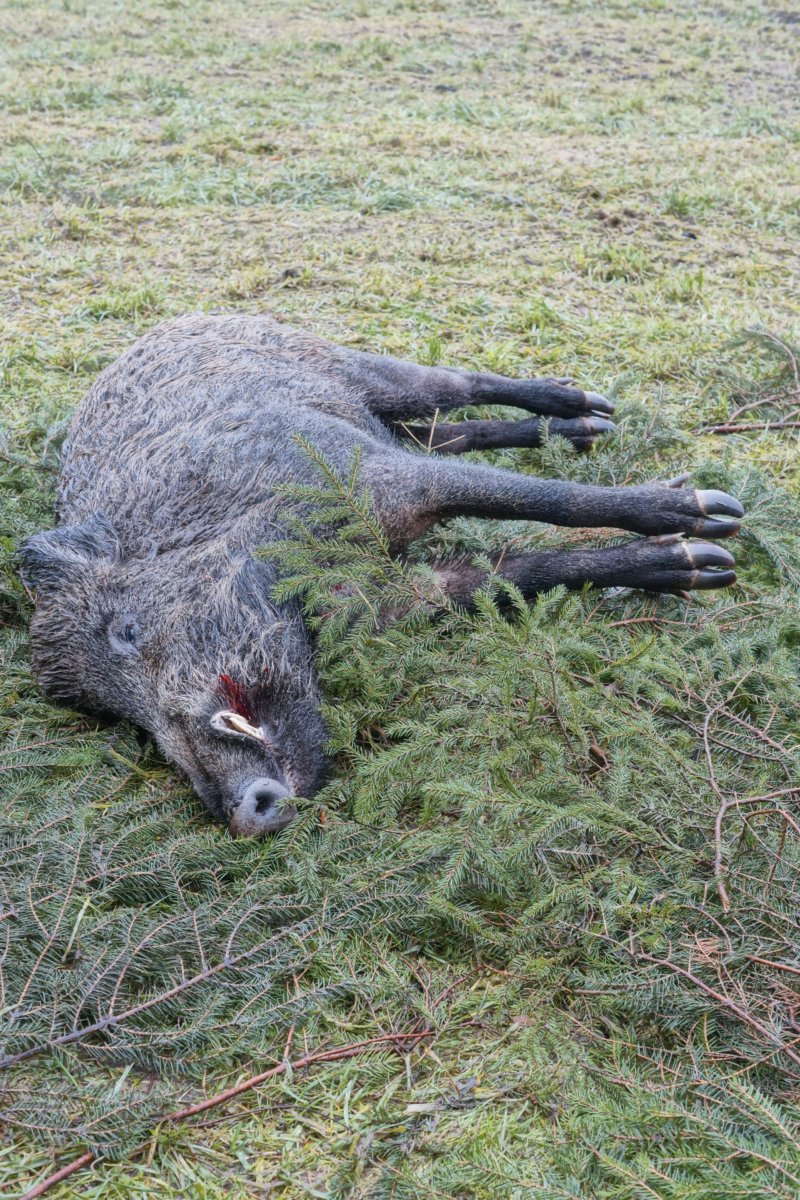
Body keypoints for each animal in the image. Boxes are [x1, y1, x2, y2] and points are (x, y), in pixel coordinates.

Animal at [20, 314, 744, 835]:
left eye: (127, 631)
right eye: (120, 720)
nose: (242, 813)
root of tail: (168, 324)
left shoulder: (373, 476)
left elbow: (537, 499)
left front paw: (714, 528)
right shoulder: (404, 591)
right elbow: (514, 573)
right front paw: (700, 566)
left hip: (351, 367)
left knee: (452, 386)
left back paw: (590, 408)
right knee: (451, 430)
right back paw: (586, 431)